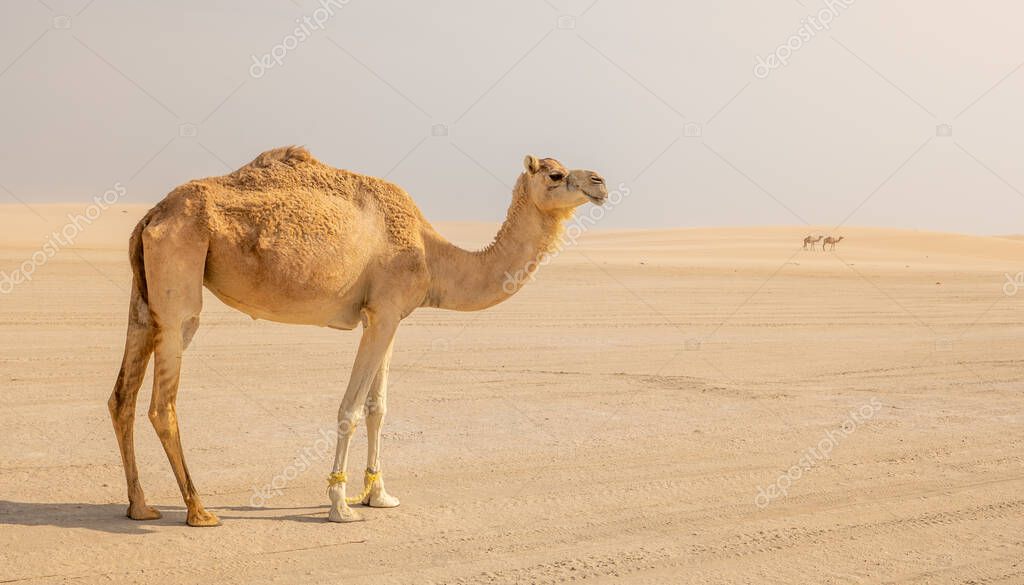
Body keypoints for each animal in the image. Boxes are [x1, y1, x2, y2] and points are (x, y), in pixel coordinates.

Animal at [107, 146, 608, 526]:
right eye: (556, 174)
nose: (601, 182)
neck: (434, 256)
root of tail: (153, 215)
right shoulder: (384, 311)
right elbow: (349, 409)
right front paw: (340, 506)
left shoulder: (385, 317)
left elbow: (377, 407)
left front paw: (379, 494)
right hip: (181, 271)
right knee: (163, 399)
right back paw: (199, 510)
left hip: (144, 291)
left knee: (122, 395)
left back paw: (141, 507)